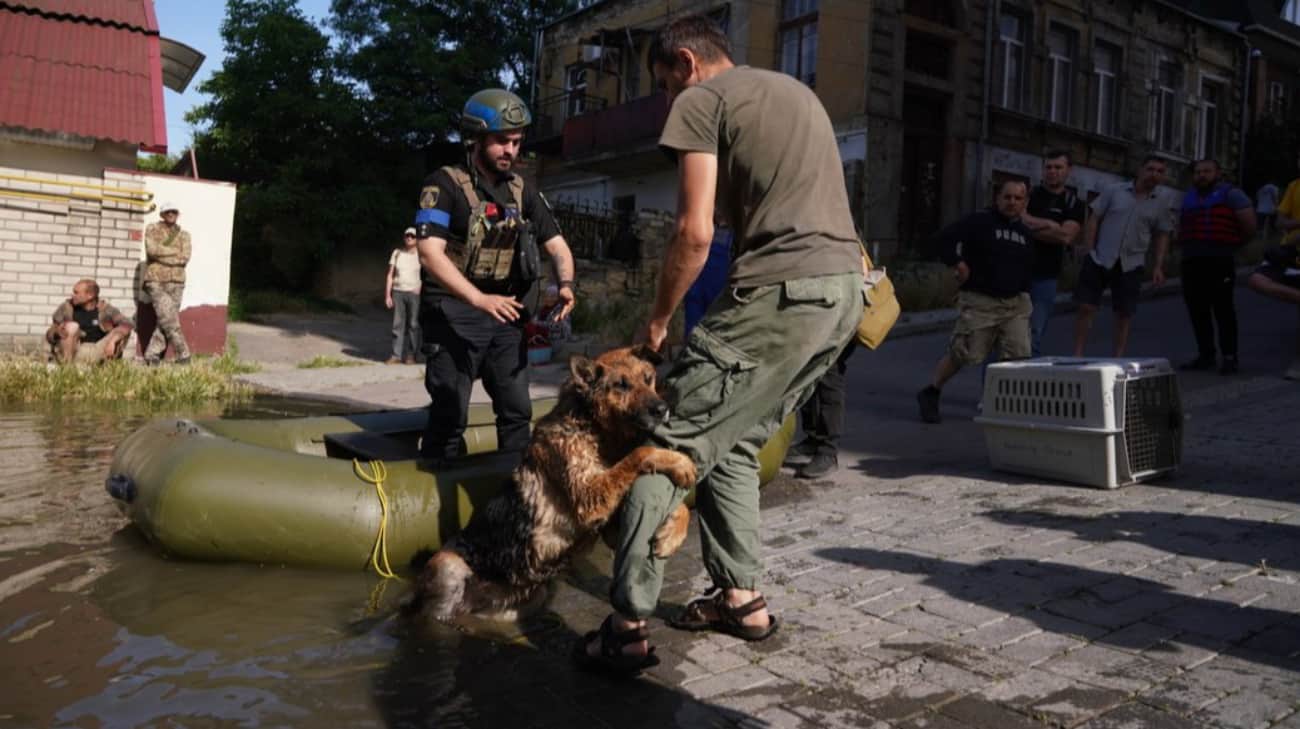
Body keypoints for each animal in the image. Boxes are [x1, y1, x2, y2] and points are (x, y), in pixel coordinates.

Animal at [410, 343, 702, 615]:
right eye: (621, 385)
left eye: (648, 378)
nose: (663, 409)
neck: (593, 427)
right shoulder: (589, 497)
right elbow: (640, 453)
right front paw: (679, 461)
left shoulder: (610, 526)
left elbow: (683, 507)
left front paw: (671, 534)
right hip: (448, 569)